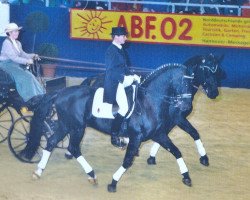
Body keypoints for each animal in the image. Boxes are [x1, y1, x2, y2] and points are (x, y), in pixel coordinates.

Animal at [20, 63, 194, 192]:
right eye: (185, 82)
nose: (186, 107)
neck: (148, 103)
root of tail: (61, 92)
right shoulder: (136, 137)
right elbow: (127, 161)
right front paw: (113, 183)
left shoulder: (158, 134)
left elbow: (176, 151)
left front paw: (186, 177)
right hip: (77, 127)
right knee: (73, 148)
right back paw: (92, 175)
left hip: (66, 125)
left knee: (51, 142)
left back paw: (38, 171)